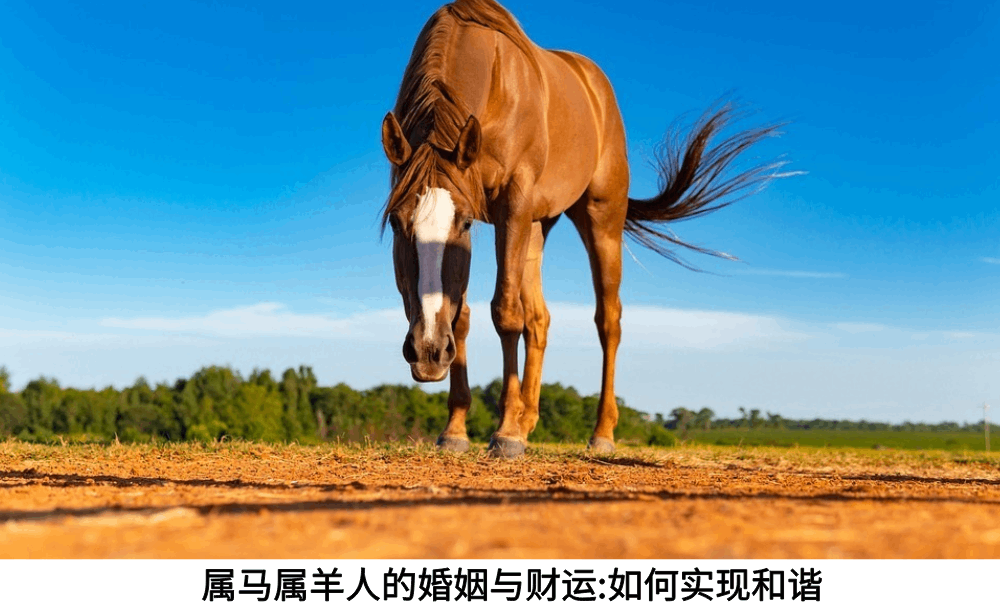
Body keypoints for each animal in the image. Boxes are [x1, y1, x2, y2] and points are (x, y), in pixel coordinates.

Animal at [380, 0, 784, 457]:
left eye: (464, 221)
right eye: (396, 222)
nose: (428, 350)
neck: (494, 81)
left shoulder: (511, 206)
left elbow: (505, 313)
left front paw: (504, 432)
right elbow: (463, 315)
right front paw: (457, 428)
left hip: (599, 219)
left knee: (608, 320)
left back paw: (600, 432)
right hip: (537, 227)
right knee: (539, 319)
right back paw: (528, 421)